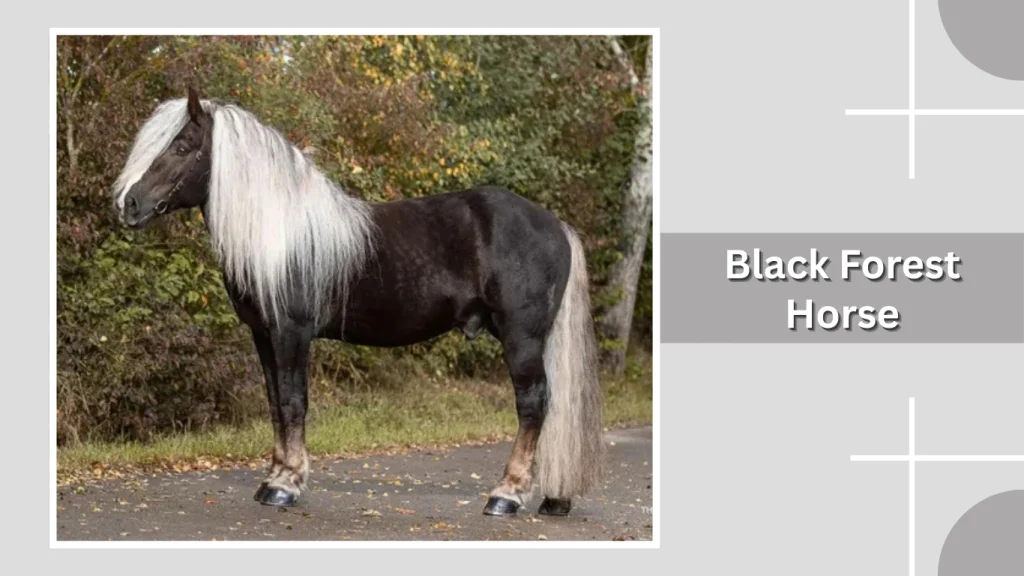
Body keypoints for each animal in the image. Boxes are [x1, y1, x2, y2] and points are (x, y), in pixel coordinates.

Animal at [111, 87, 604, 517]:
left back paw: (506, 495)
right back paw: (553, 499)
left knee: (533, 404)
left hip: (522, 337)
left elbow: (294, 401)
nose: (128, 205)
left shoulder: (291, 332)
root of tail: (556, 225)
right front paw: (273, 476)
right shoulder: (263, 335)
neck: (283, 233)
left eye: (181, 146)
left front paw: (285, 485)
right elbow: (275, 403)